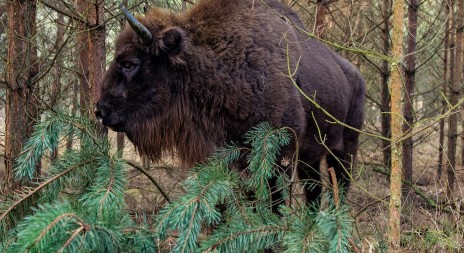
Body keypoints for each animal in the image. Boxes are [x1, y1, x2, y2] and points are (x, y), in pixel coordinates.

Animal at [96, 0, 366, 208]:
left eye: (129, 63)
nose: (100, 111)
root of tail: (356, 75)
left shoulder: (275, 156)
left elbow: (272, 204)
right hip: (309, 159)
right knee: (314, 193)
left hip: (344, 150)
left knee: (339, 186)